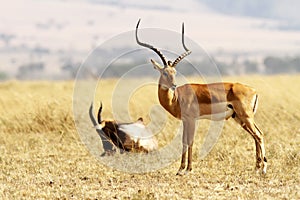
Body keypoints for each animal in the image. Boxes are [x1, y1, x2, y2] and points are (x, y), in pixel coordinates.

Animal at [136, 19, 268, 175]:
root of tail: (254, 90)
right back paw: (257, 168)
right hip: (239, 118)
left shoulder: (192, 120)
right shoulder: (185, 120)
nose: (173, 85)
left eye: (174, 72)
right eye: (165, 73)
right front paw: (181, 169)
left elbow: (190, 141)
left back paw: (263, 169)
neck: (177, 98)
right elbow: (184, 141)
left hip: (245, 117)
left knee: (259, 135)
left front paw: (187, 169)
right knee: (256, 136)